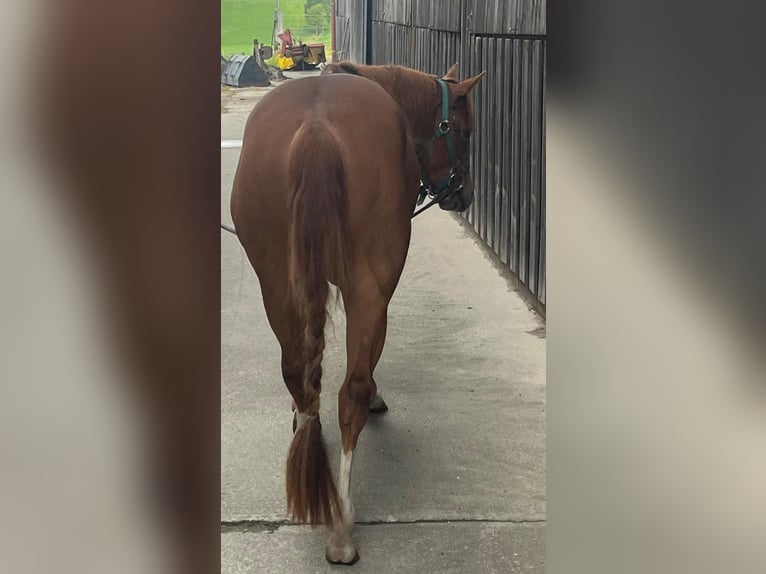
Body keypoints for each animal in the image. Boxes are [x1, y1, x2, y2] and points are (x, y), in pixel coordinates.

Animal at [230, 63, 483, 564]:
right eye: (463, 131)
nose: (462, 194)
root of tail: (316, 126)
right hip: (369, 285)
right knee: (352, 392)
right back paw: (343, 522)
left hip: (276, 283)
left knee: (298, 374)